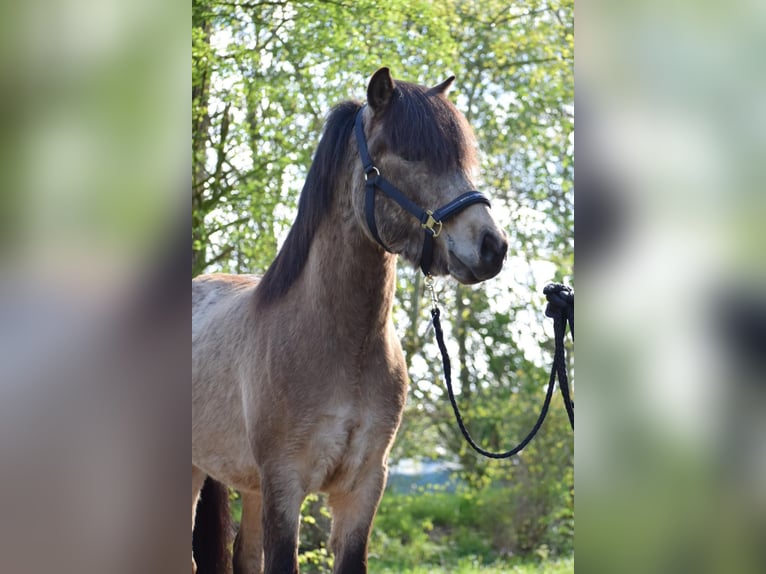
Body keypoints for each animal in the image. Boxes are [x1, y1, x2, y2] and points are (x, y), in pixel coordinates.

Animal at [194, 68, 510, 574]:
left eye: (462, 157)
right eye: (409, 155)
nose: (491, 246)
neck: (340, 345)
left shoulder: (363, 485)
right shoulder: (285, 484)